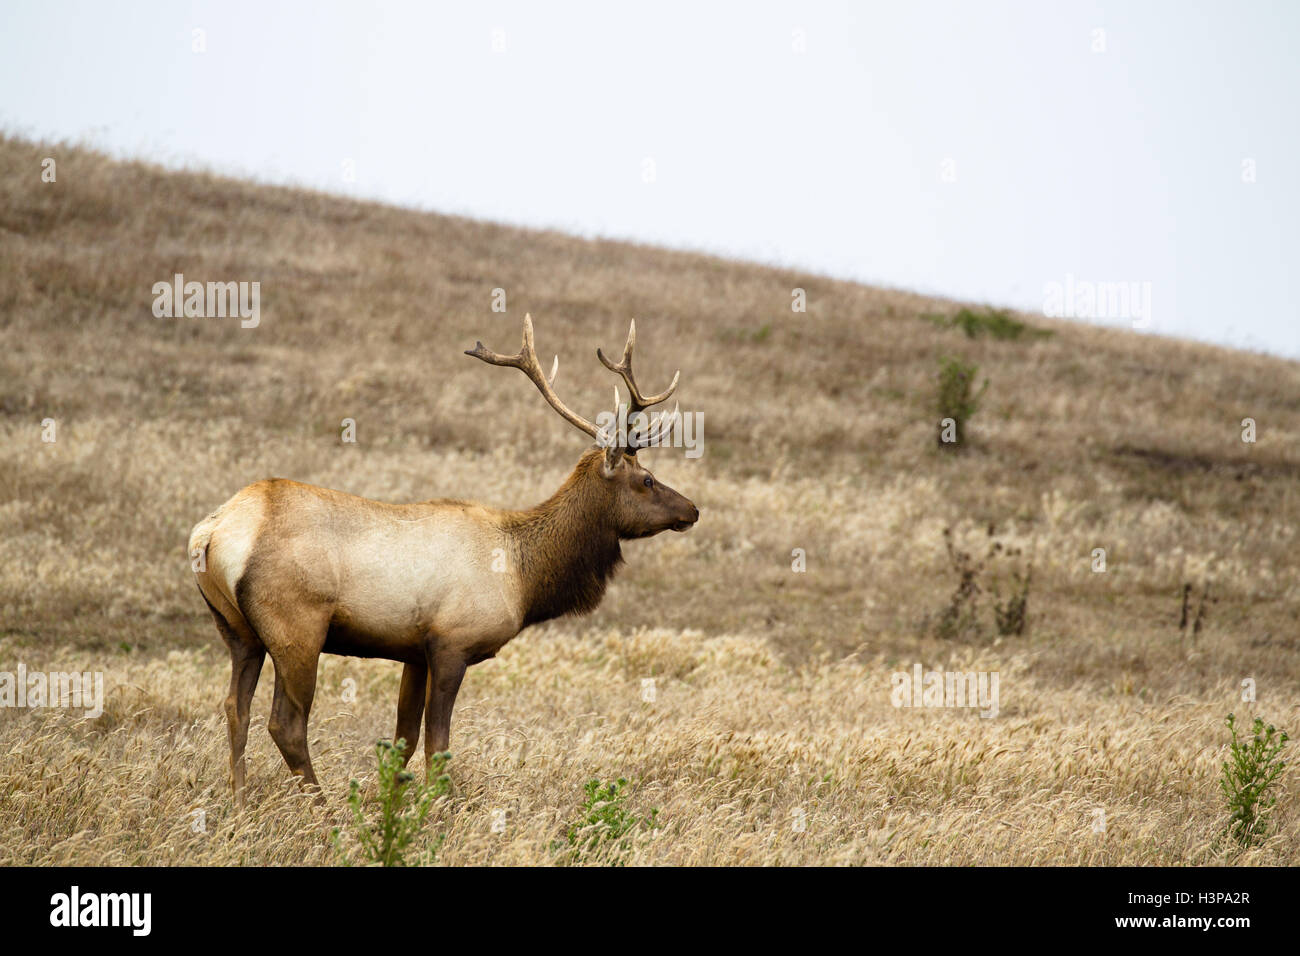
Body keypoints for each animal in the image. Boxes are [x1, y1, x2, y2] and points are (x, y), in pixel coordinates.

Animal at [189, 314, 698, 807]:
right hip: (297, 626)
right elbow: (438, 743)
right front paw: (435, 811)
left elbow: (403, 741)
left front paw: (393, 806)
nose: (692, 509)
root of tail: (212, 532)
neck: (524, 577)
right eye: (647, 479)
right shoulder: (452, 642)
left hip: (237, 629)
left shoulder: (414, 649)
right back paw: (323, 811)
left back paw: (238, 806)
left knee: (235, 708)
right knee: (286, 723)